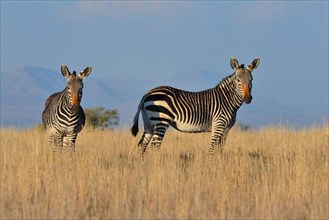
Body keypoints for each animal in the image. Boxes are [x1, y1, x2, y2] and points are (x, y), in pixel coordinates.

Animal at [130, 56, 258, 158]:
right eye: (238, 80)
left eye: (251, 80)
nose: (248, 98)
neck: (226, 99)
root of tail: (147, 93)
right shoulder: (218, 125)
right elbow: (212, 150)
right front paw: (211, 166)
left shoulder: (225, 129)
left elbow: (220, 150)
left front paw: (219, 164)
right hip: (160, 121)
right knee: (154, 146)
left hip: (148, 123)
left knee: (142, 144)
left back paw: (142, 165)